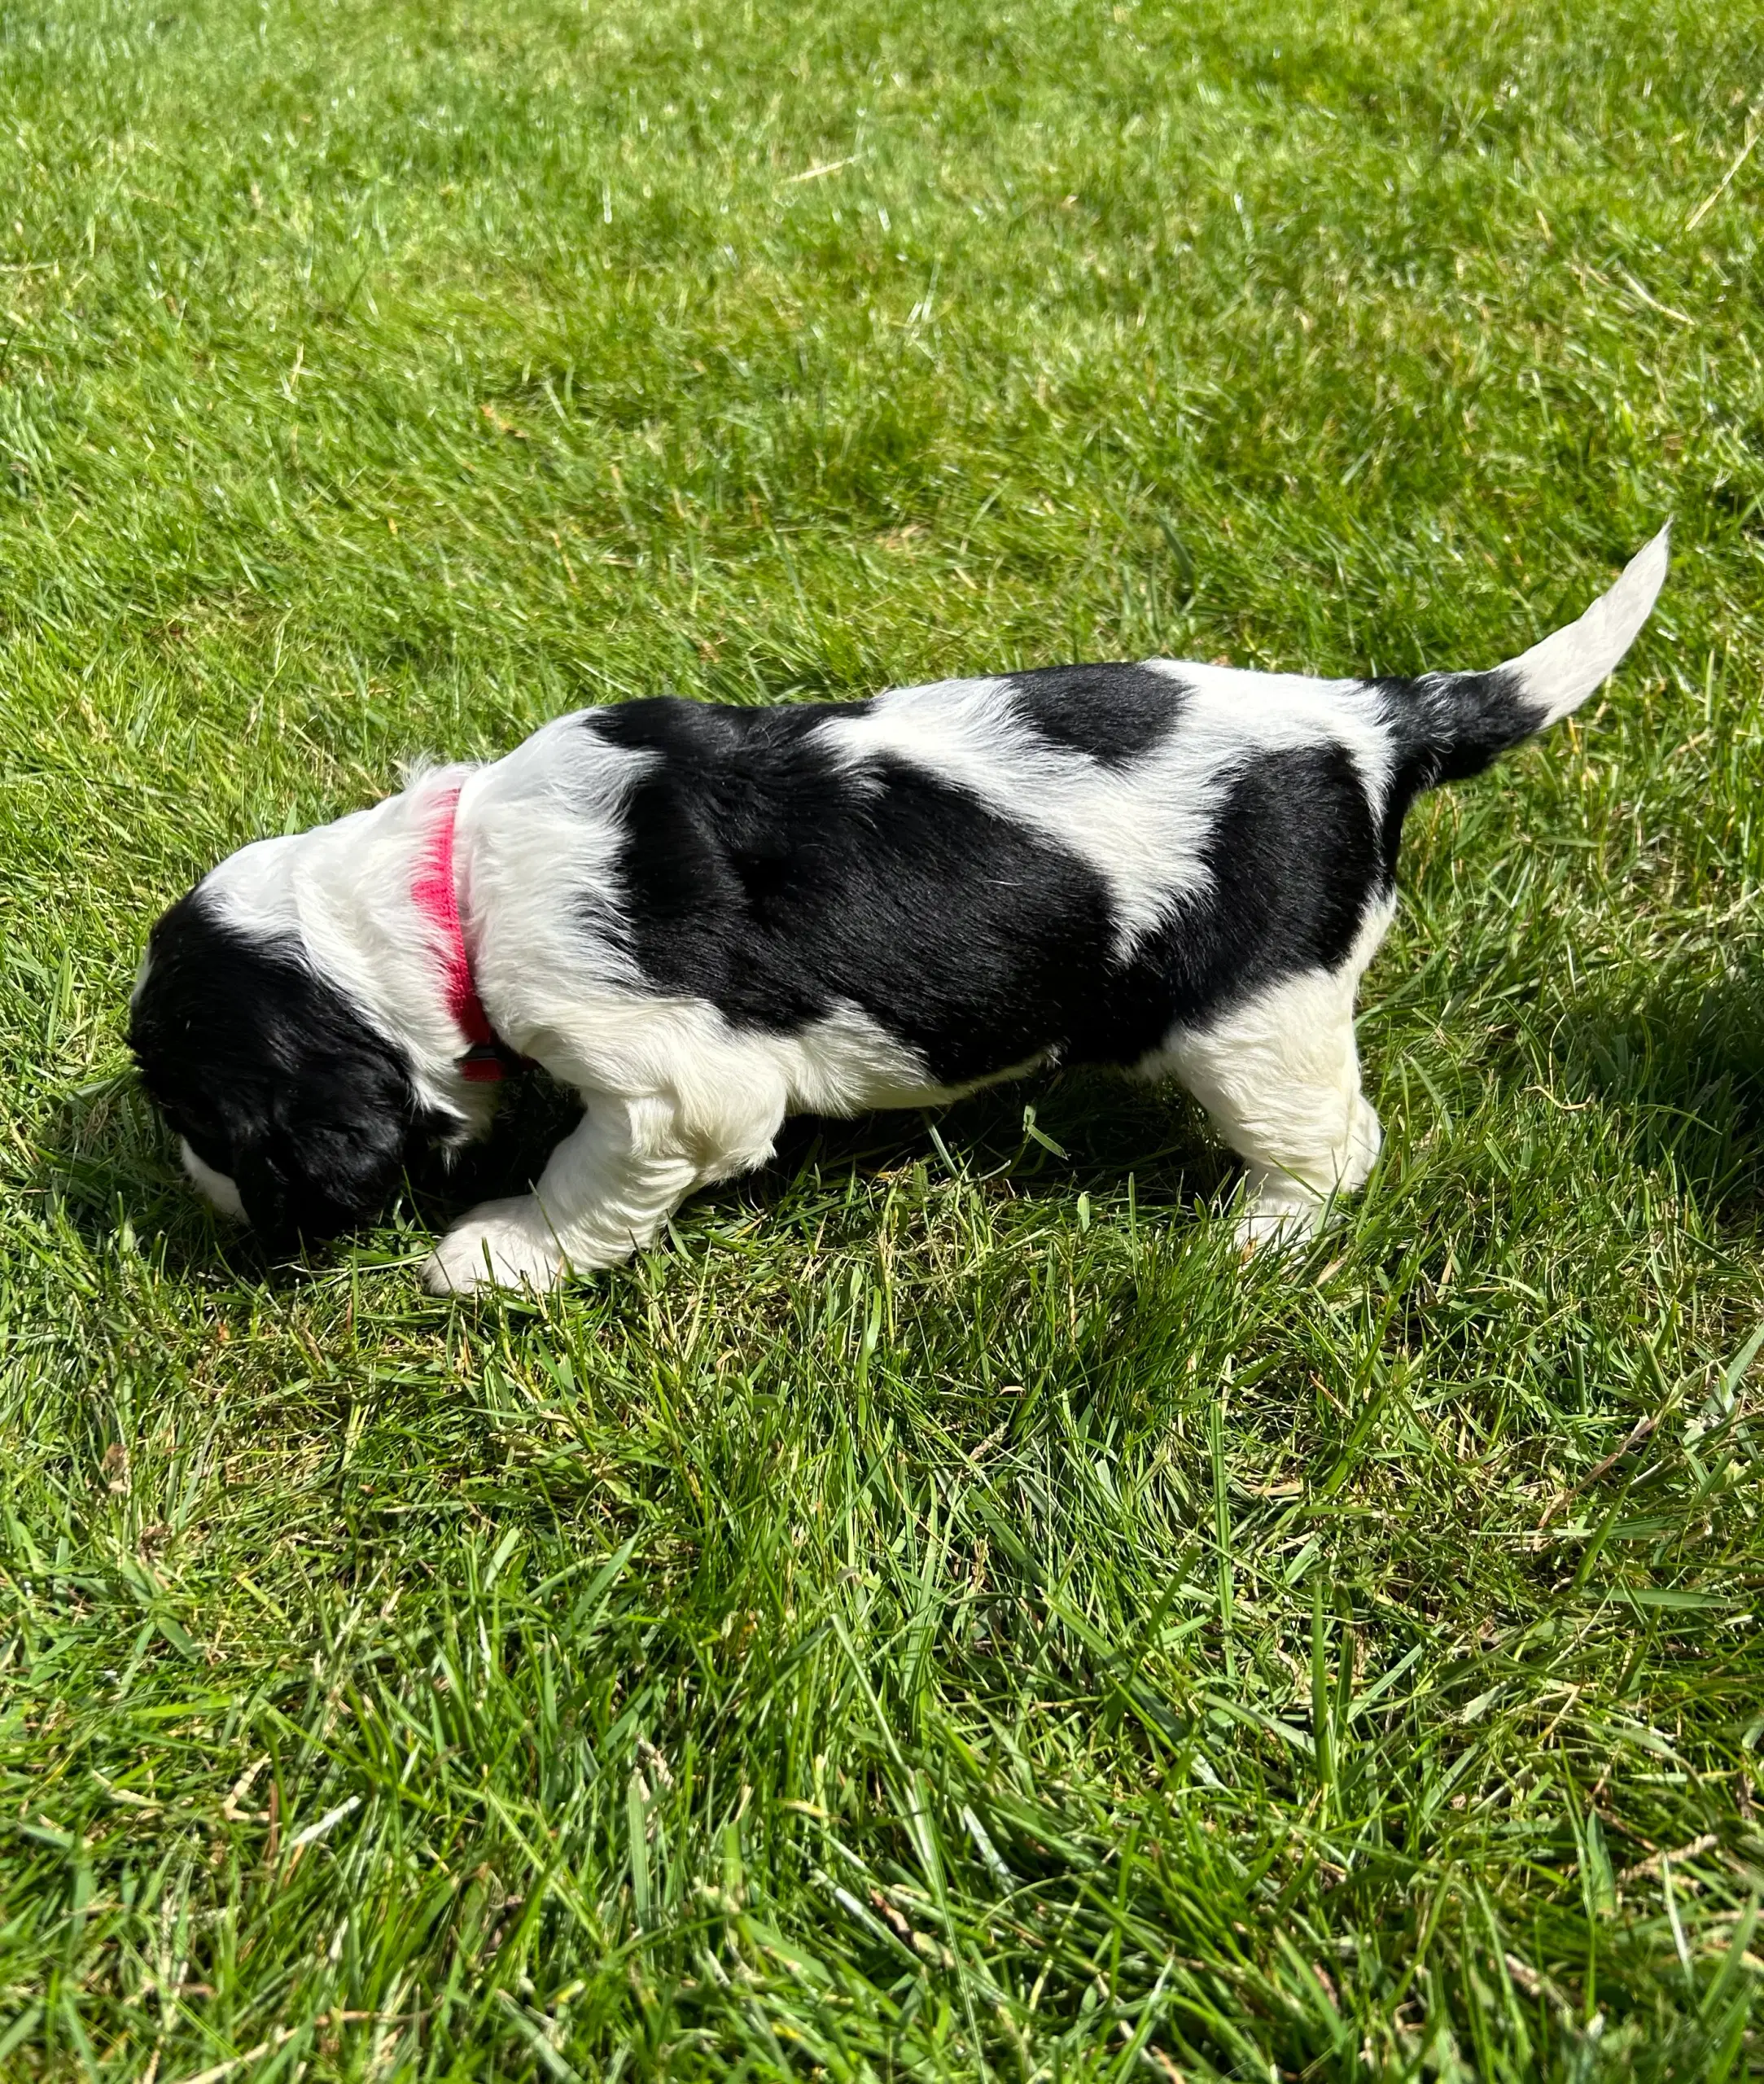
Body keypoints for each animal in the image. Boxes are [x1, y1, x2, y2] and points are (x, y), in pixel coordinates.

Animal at [127, 529, 1668, 1283]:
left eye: (201, 1115)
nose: (198, 1208)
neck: (449, 885)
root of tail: (1372, 723)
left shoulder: (672, 1086)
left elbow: (588, 1176)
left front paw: (501, 1253)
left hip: (1253, 1016)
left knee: (1334, 1146)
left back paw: (1255, 1240)